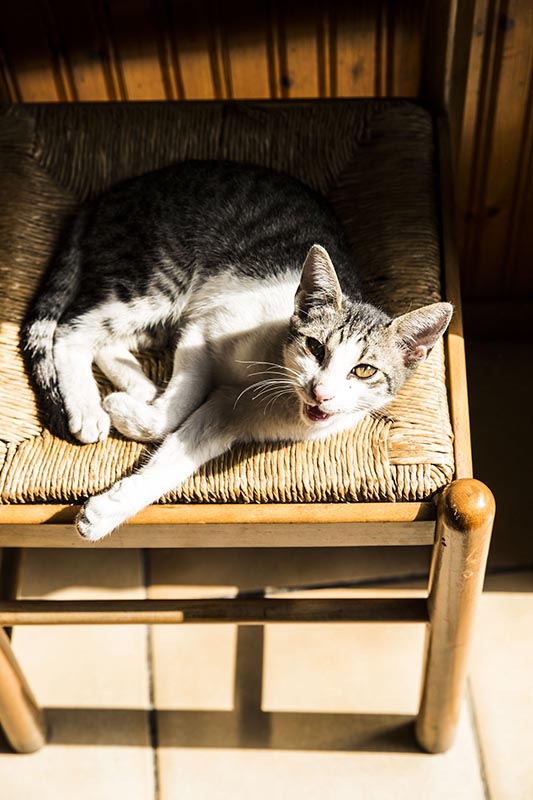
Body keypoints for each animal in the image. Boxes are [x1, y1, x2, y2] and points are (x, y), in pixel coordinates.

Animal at [21, 159, 454, 540]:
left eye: (364, 370)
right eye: (315, 347)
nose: (321, 393)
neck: (274, 381)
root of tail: (114, 192)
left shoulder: (228, 413)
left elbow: (176, 456)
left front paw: (108, 510)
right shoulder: (202, 329)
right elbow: (176, 406)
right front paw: (126, 411)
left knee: (110, 339)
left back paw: (139, 388)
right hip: (158, 280)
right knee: (73, 329)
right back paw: (89, 407)